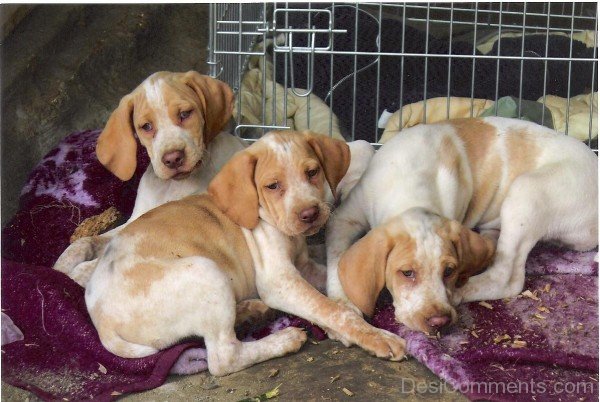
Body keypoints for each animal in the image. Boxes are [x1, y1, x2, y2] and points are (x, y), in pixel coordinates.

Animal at [53, 70, 246, 284]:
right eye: (146, 126)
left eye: (185, 114)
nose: (173, 158)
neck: (172, 186)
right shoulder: (134, 222)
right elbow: (84, 242)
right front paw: (60, 266)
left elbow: (98, 264)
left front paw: (75, 274)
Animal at [328, 117, 596, 336]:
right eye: (407, 273)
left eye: (449, 270)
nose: (439, 321)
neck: (411, 193)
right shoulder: (342, 218)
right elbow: (336, 259)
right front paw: (344, 307)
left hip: (526, 191)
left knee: (506, 278)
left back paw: (461, 292)